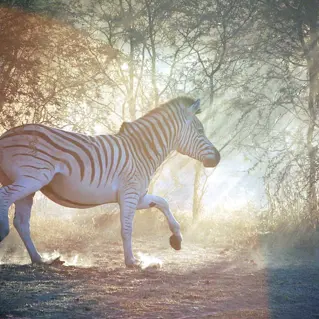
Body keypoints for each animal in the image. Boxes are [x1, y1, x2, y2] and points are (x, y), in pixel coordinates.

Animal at [0, 97, 220, 268]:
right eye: (200, 131)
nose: (218, 158)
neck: (141, 151)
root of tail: (6, 135)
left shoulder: (137, 196)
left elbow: (163, 202)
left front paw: (176, 239)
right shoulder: (130, 194)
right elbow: (127, 229)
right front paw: (132, 261)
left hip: (29, 186)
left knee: (22, 222)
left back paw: (40, 259)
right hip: (32, 178)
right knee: (5, 197)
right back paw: (4, 232)